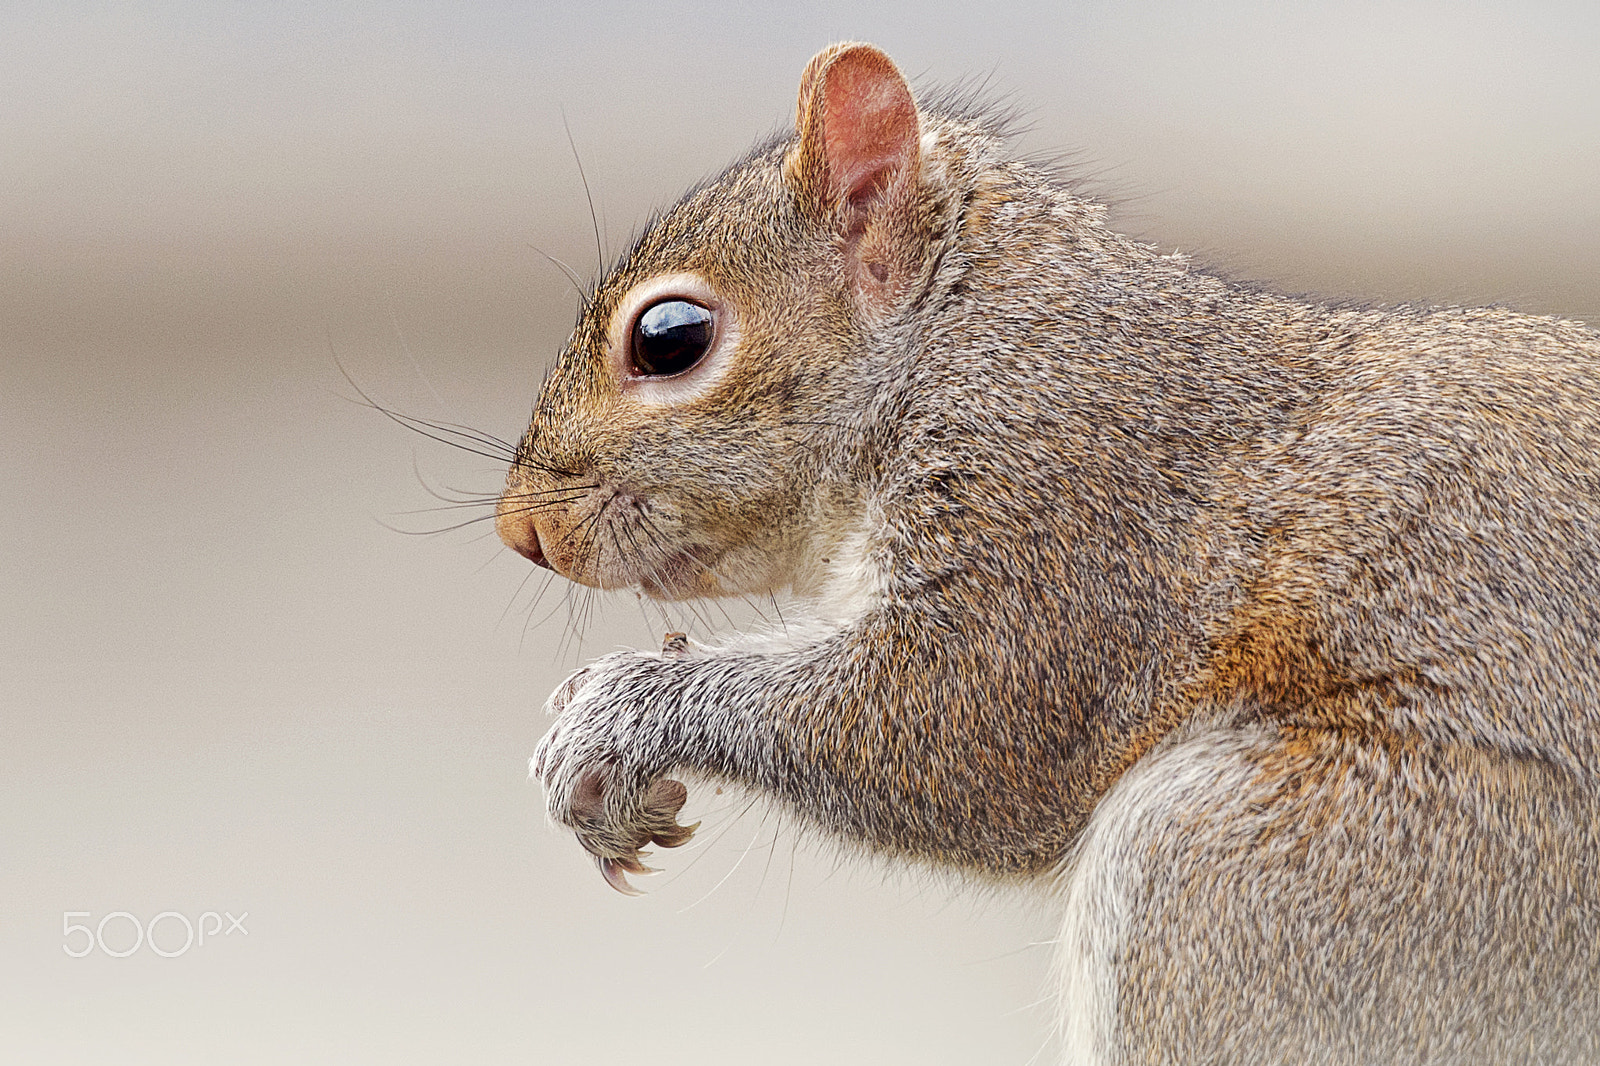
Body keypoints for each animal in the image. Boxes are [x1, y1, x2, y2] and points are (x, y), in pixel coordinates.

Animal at [495, 43, 1600, 1064]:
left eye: (671, 338)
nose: (521, 531)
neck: (964, 325)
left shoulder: (1063, 502)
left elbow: (965, 726)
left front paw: (615, 715)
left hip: (1280, 880)